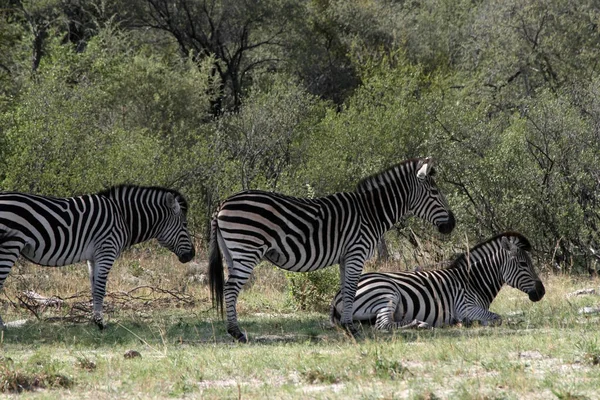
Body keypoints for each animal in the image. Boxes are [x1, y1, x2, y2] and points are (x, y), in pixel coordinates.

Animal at [0, 184, 196, 328]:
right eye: (185, 224)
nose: (192, 255)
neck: (122, 217)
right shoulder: (106, 252)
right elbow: (101, 289)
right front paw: (101, 323)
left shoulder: (93, 258)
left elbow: (94, 289)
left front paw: (95, 320)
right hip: (10, 246)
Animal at [209, 156, 458, 340]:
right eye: (435, 193)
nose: (452, 224)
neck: (371, 213)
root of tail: (223, 203)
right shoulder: (357, 252)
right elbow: (350, 288)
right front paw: (352, 329)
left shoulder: (345, 256)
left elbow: (345, 289)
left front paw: (347, 325)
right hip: (247, 249)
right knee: (231, 288)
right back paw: (237, 333)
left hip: (233, 253)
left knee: (230, 288)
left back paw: (234, 330)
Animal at [330, 230, 548, 330]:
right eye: (523, 264)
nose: (542, 292)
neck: (473, 282)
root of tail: (337, 295)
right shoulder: (465, 307)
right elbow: (497, 317)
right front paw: (469, 323)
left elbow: (511, 315)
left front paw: (520, 318)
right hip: (386, 292)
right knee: (384, 325)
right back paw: (419, 324)